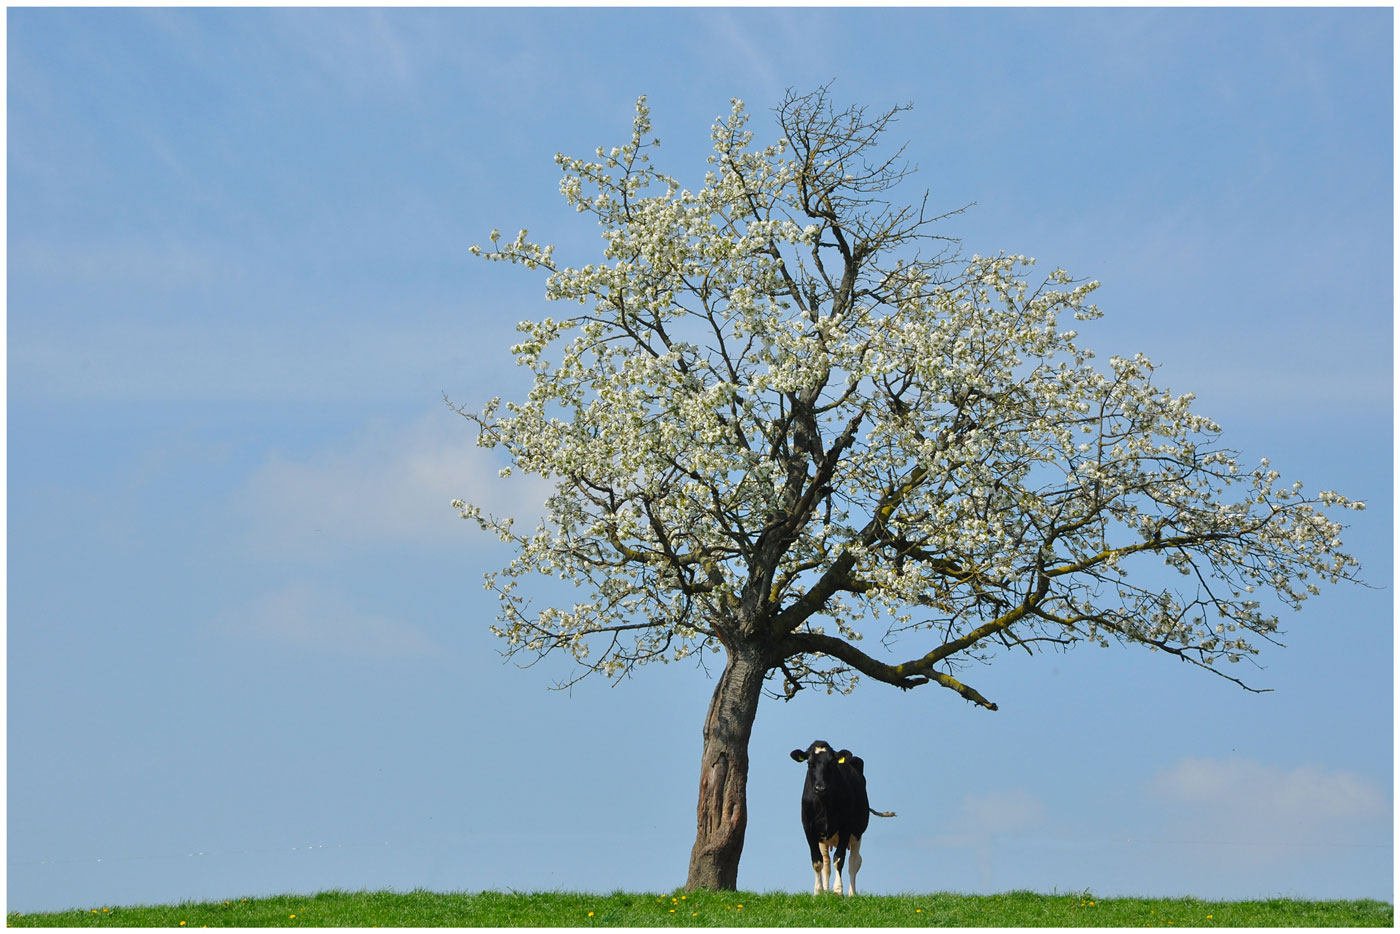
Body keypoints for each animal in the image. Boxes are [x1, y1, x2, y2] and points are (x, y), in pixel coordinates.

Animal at [789, 739, 896, 896]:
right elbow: (817, 862)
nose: (820, 788)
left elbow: (839, 859)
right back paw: (826, 890)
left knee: (854, 862)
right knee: (827, 863)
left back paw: (852, 894)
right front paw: (819, 892)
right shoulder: (808, 827)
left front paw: (838, 891)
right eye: (810, 763)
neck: (825, 804)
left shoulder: (846, 827)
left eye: (831, 763)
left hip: (857, 833)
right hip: (824, 839)